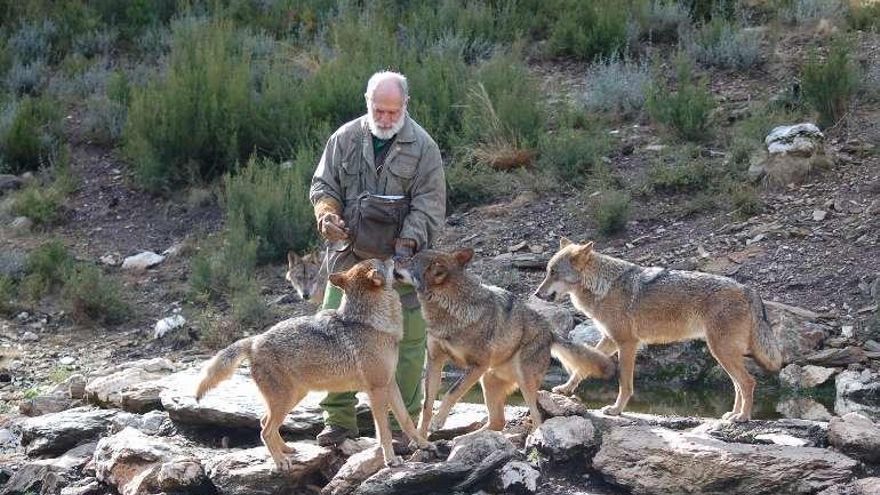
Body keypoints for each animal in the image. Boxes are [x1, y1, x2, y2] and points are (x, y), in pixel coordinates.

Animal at [199, 260, 434, 468]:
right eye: (383, 262)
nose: (396, 257)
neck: (371, 323)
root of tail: (254, 340)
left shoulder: (389, 384)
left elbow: (406, 420)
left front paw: (424, 444)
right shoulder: (376, 391)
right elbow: (384, 432)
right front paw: (391, 460)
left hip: (292, 398)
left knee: (264, 422)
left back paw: (286, 450)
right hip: (285, 400)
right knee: (264, 430)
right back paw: (280, 462)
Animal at [396, 250, 616, 436]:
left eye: (411, 260)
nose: (395, 257)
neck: (451, 309)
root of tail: (550, 331)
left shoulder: (477, 365)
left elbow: (451, 392)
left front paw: (438, 422)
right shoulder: (435, 361)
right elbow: (427, 405)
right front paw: (420, 439)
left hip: (522, 381)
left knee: (536, 418)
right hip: (488, 380)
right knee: (497, 422)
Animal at [532, 239, 780, 422]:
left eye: (554, 273)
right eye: (547, 272)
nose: (536, 294)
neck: (604, 287)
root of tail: (748, 290)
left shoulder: (627, 343)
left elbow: (625, 383)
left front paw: (616, 410)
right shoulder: (609, 340)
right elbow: (582, 366)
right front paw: (565, 389)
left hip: (721, 351)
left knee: (748, 382)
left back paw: (743, 417)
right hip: (722, 353)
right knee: (738, 385)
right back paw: (732, 415)